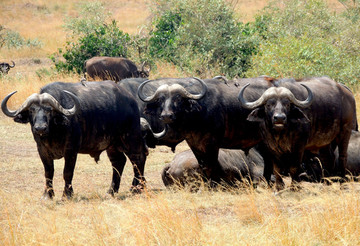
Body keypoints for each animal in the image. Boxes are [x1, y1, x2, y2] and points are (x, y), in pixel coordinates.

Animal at [136, 76, 274, 184]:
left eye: (178, 98)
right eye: (161, 100)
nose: (166, 115)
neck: (199, 115)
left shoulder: (212, 145)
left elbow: (211, 165)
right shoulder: (194, 145)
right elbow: (204, 165)